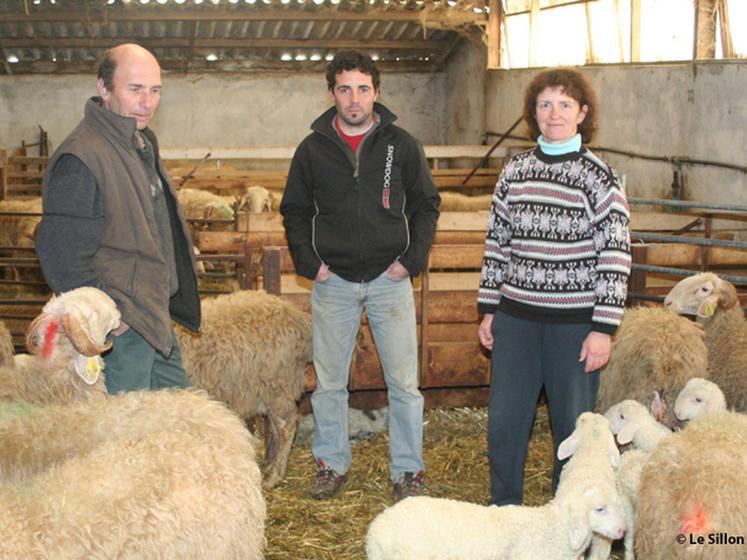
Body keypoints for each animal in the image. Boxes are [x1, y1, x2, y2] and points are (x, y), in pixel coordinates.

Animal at [176, 290, 312, 488]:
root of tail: (295, 315)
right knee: (276, 427)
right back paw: (269, 466)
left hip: (278, 385)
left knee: (287, 427)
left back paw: (274, 476)